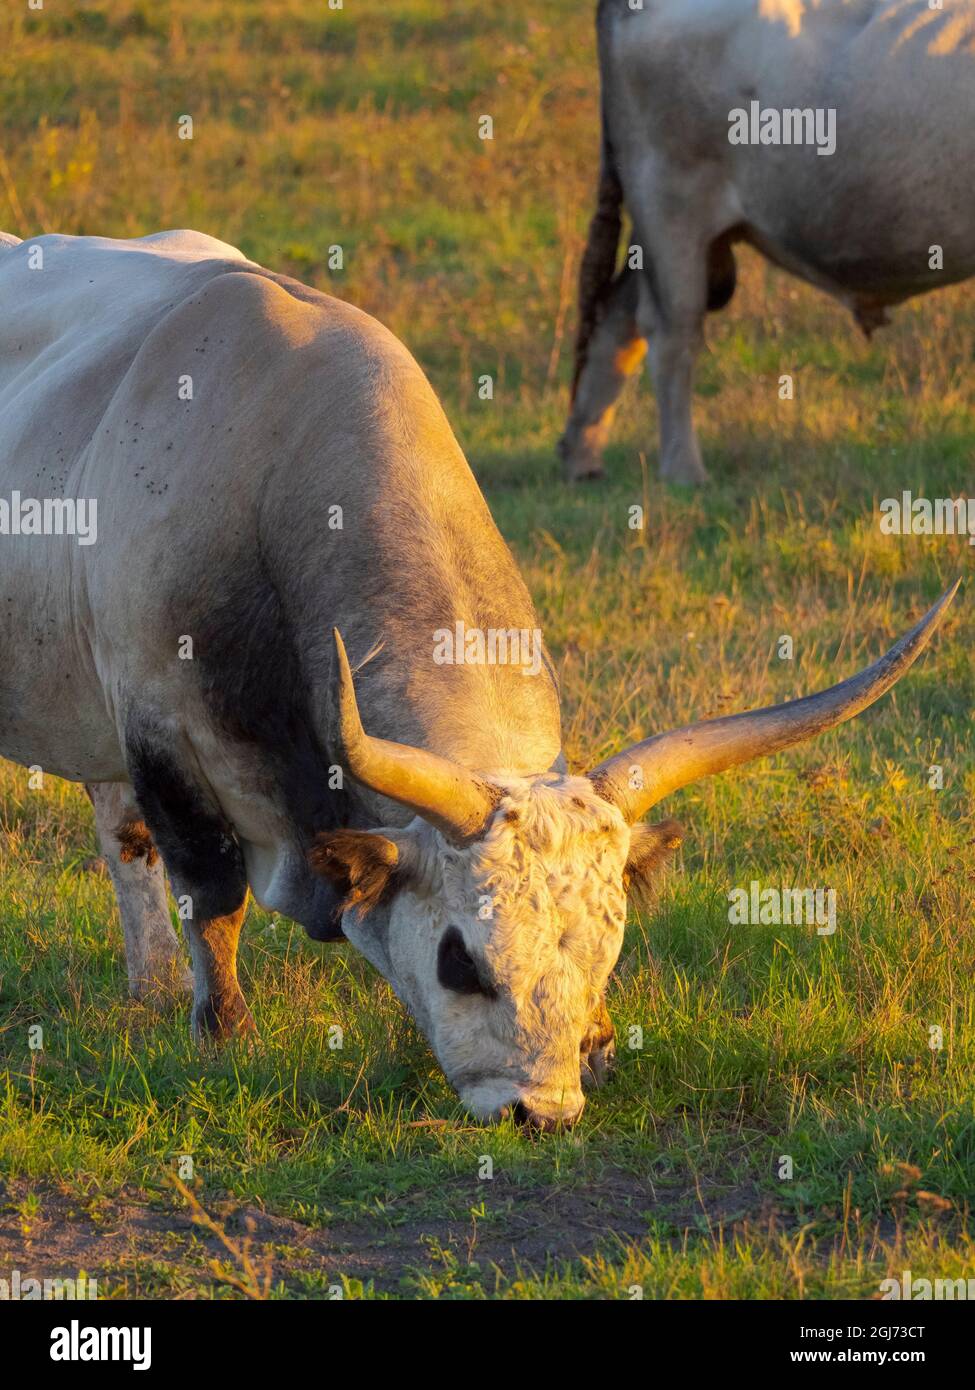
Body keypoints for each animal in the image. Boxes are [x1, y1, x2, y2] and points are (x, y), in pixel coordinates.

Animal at [0, 229, 958, 1128]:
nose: (542, 1112)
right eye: (459, 959)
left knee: (120, 836)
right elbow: (212, 893)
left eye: (606, 953)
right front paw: (222, 1034)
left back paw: (151, 987)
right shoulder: (162, 729)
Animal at [559, 0, 975, 484]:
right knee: (671, 334)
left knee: (616, 319)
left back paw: (582, 458)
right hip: (670, 208)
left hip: (662, 230)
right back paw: (684, 472)